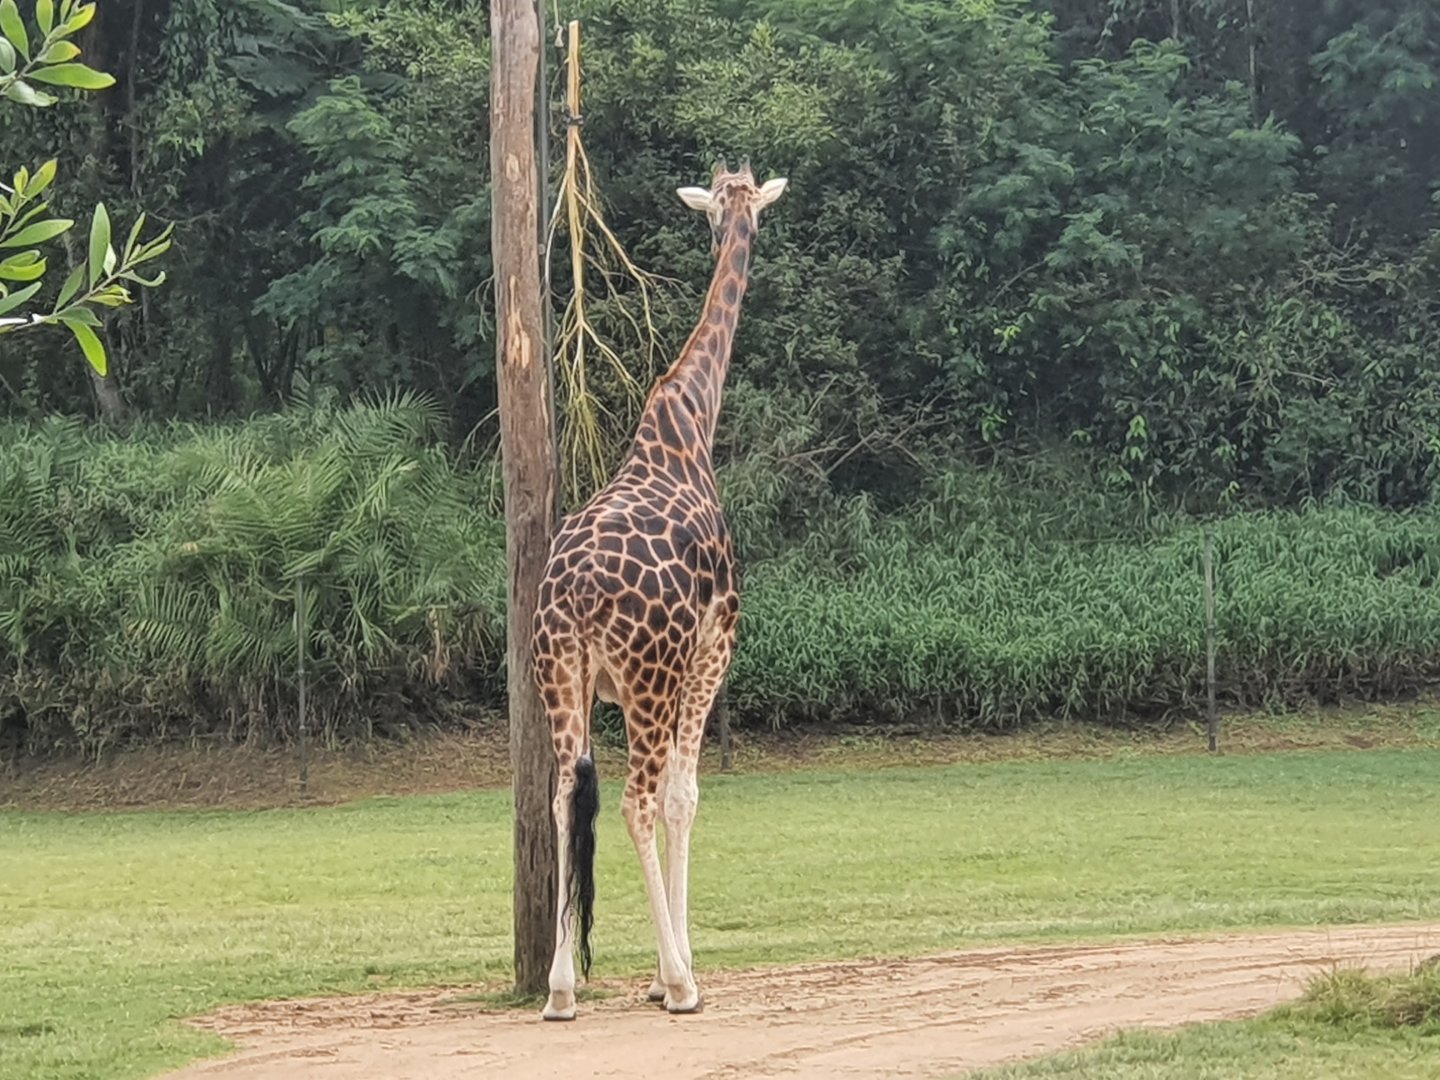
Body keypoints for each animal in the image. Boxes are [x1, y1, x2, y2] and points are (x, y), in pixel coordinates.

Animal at [530, 161, 787, 1021]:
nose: (731, 229)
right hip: (647, 679)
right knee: (637, 801)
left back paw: (560, 989)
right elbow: (685, 796)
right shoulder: (713, 649)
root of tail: (576, 592)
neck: (689, 423)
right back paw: (679, 984)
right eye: (726, 209)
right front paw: (672, 971)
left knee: (561, 800)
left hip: (558, 677)